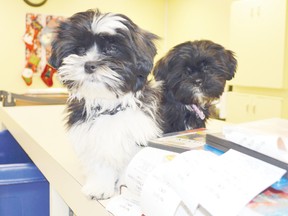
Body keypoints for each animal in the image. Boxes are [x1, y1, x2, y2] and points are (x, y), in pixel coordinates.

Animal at [49, 9, 162, 199]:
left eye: (111, 49)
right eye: (80, 50)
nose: (89, 65)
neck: (109, 105)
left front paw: (126, 189)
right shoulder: (93, 138)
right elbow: (100, 163)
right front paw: (99, 187)